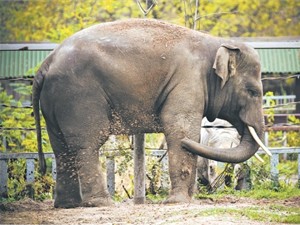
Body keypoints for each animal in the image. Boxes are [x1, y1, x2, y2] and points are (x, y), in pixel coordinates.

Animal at [31, 18, 268, 208]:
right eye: (253, 91)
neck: (218, 43)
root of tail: (46, 63)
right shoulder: (188, 82)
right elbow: (180, 128)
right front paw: (177, 202)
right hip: (78, 96)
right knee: (86, 145)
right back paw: (102, 204)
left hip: (55, 101)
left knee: (61, 147)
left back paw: (67, 205)